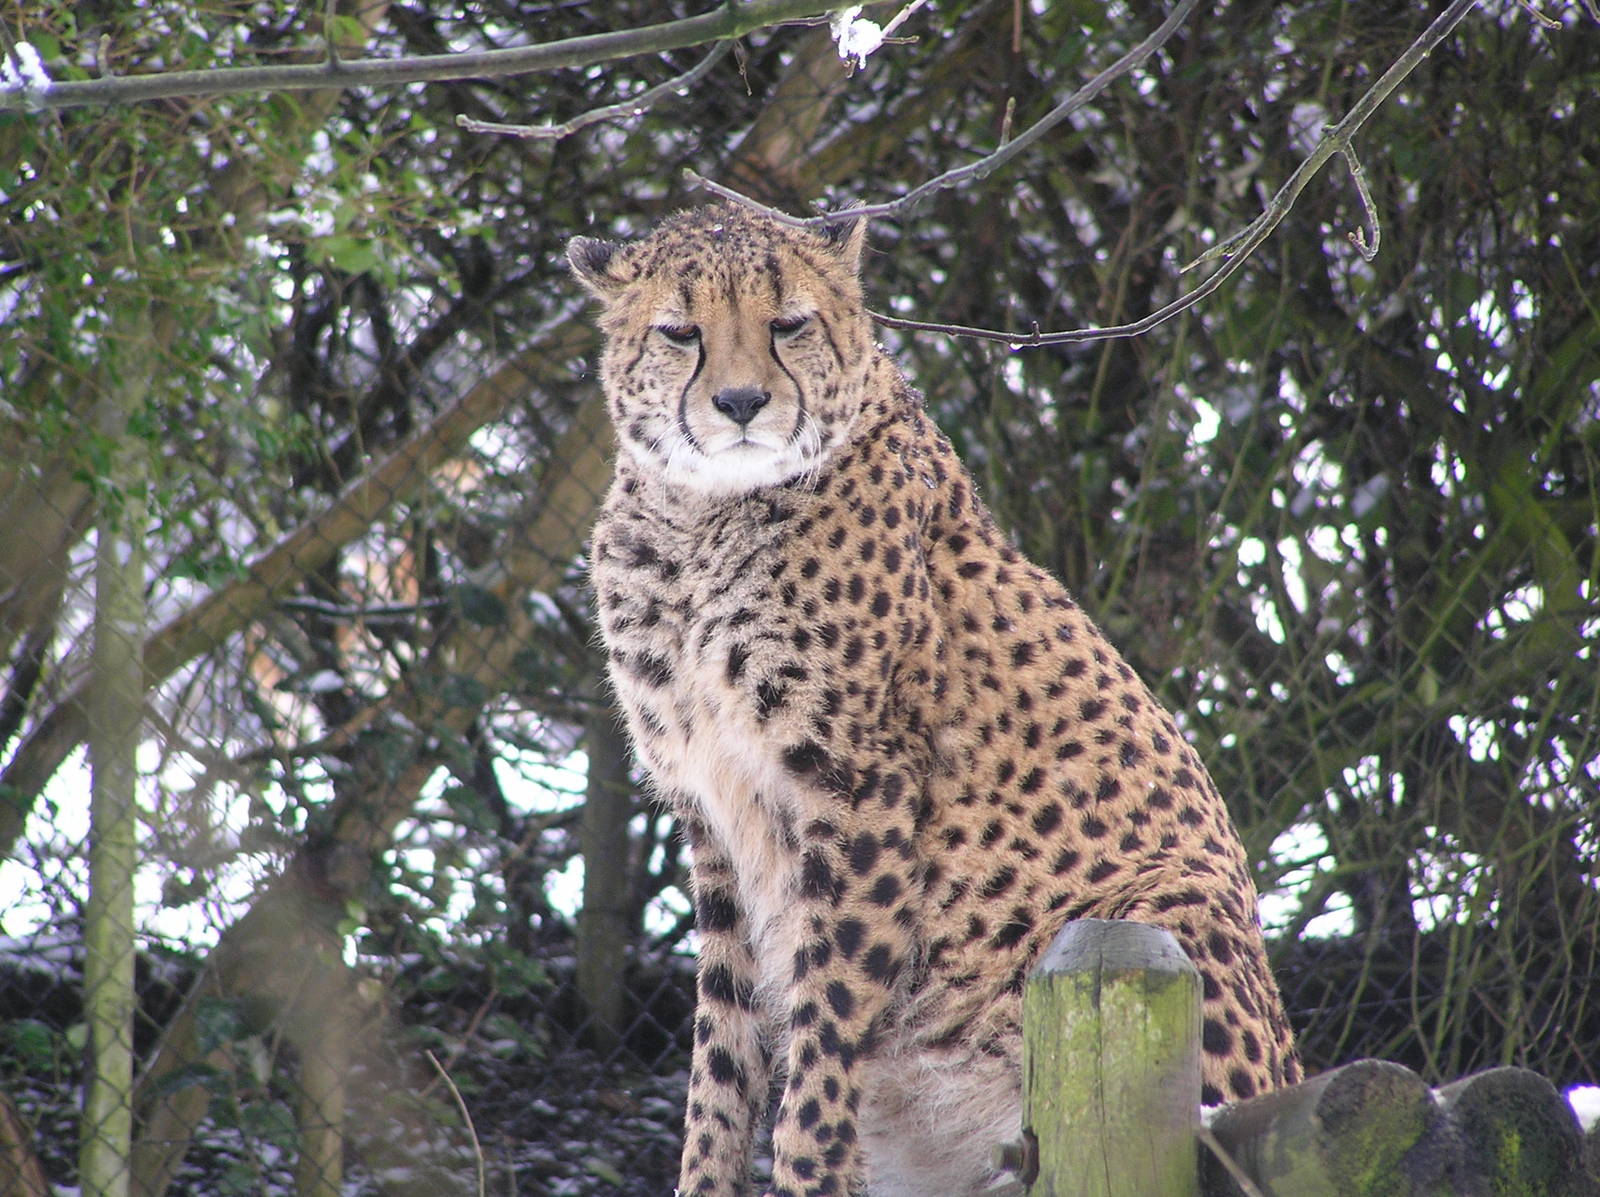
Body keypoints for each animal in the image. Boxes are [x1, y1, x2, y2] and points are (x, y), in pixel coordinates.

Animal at [568, 203, 1300, 1197]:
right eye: (681, 332)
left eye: (788, 323)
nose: (742, 403)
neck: (700, 516)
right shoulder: (714, 814)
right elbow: (724, 1048)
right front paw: (708, 1175)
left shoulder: (858, 788)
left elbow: (824, 1027)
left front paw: (806, 1167)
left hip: (1157, 914)